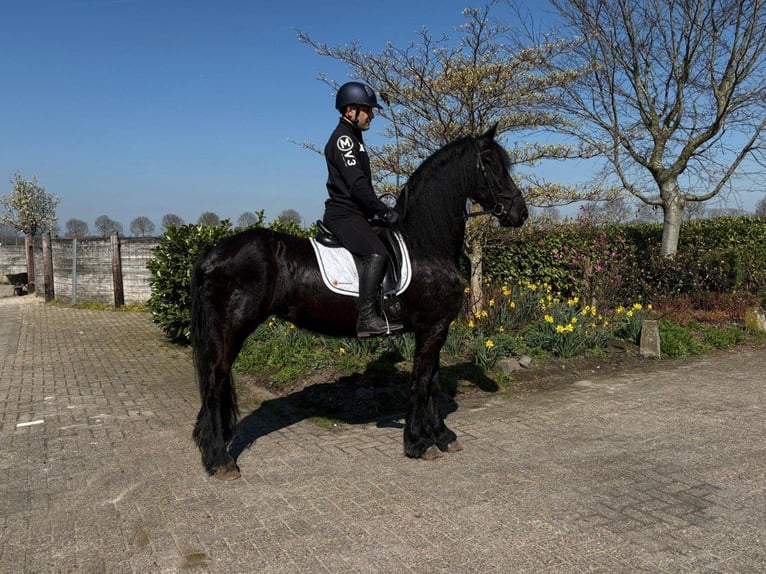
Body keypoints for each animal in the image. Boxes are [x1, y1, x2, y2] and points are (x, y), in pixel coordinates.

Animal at [191, 124, 528, 480]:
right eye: (491, 164)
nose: (520, 213)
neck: (424, 245)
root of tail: (213, 251)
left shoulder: (434, 329)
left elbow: (433, 383)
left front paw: (442, 436)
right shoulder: (433, 328)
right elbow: (421, 383)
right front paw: (417, 443)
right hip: (231, 327)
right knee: (214, 380)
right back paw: (220, 459)